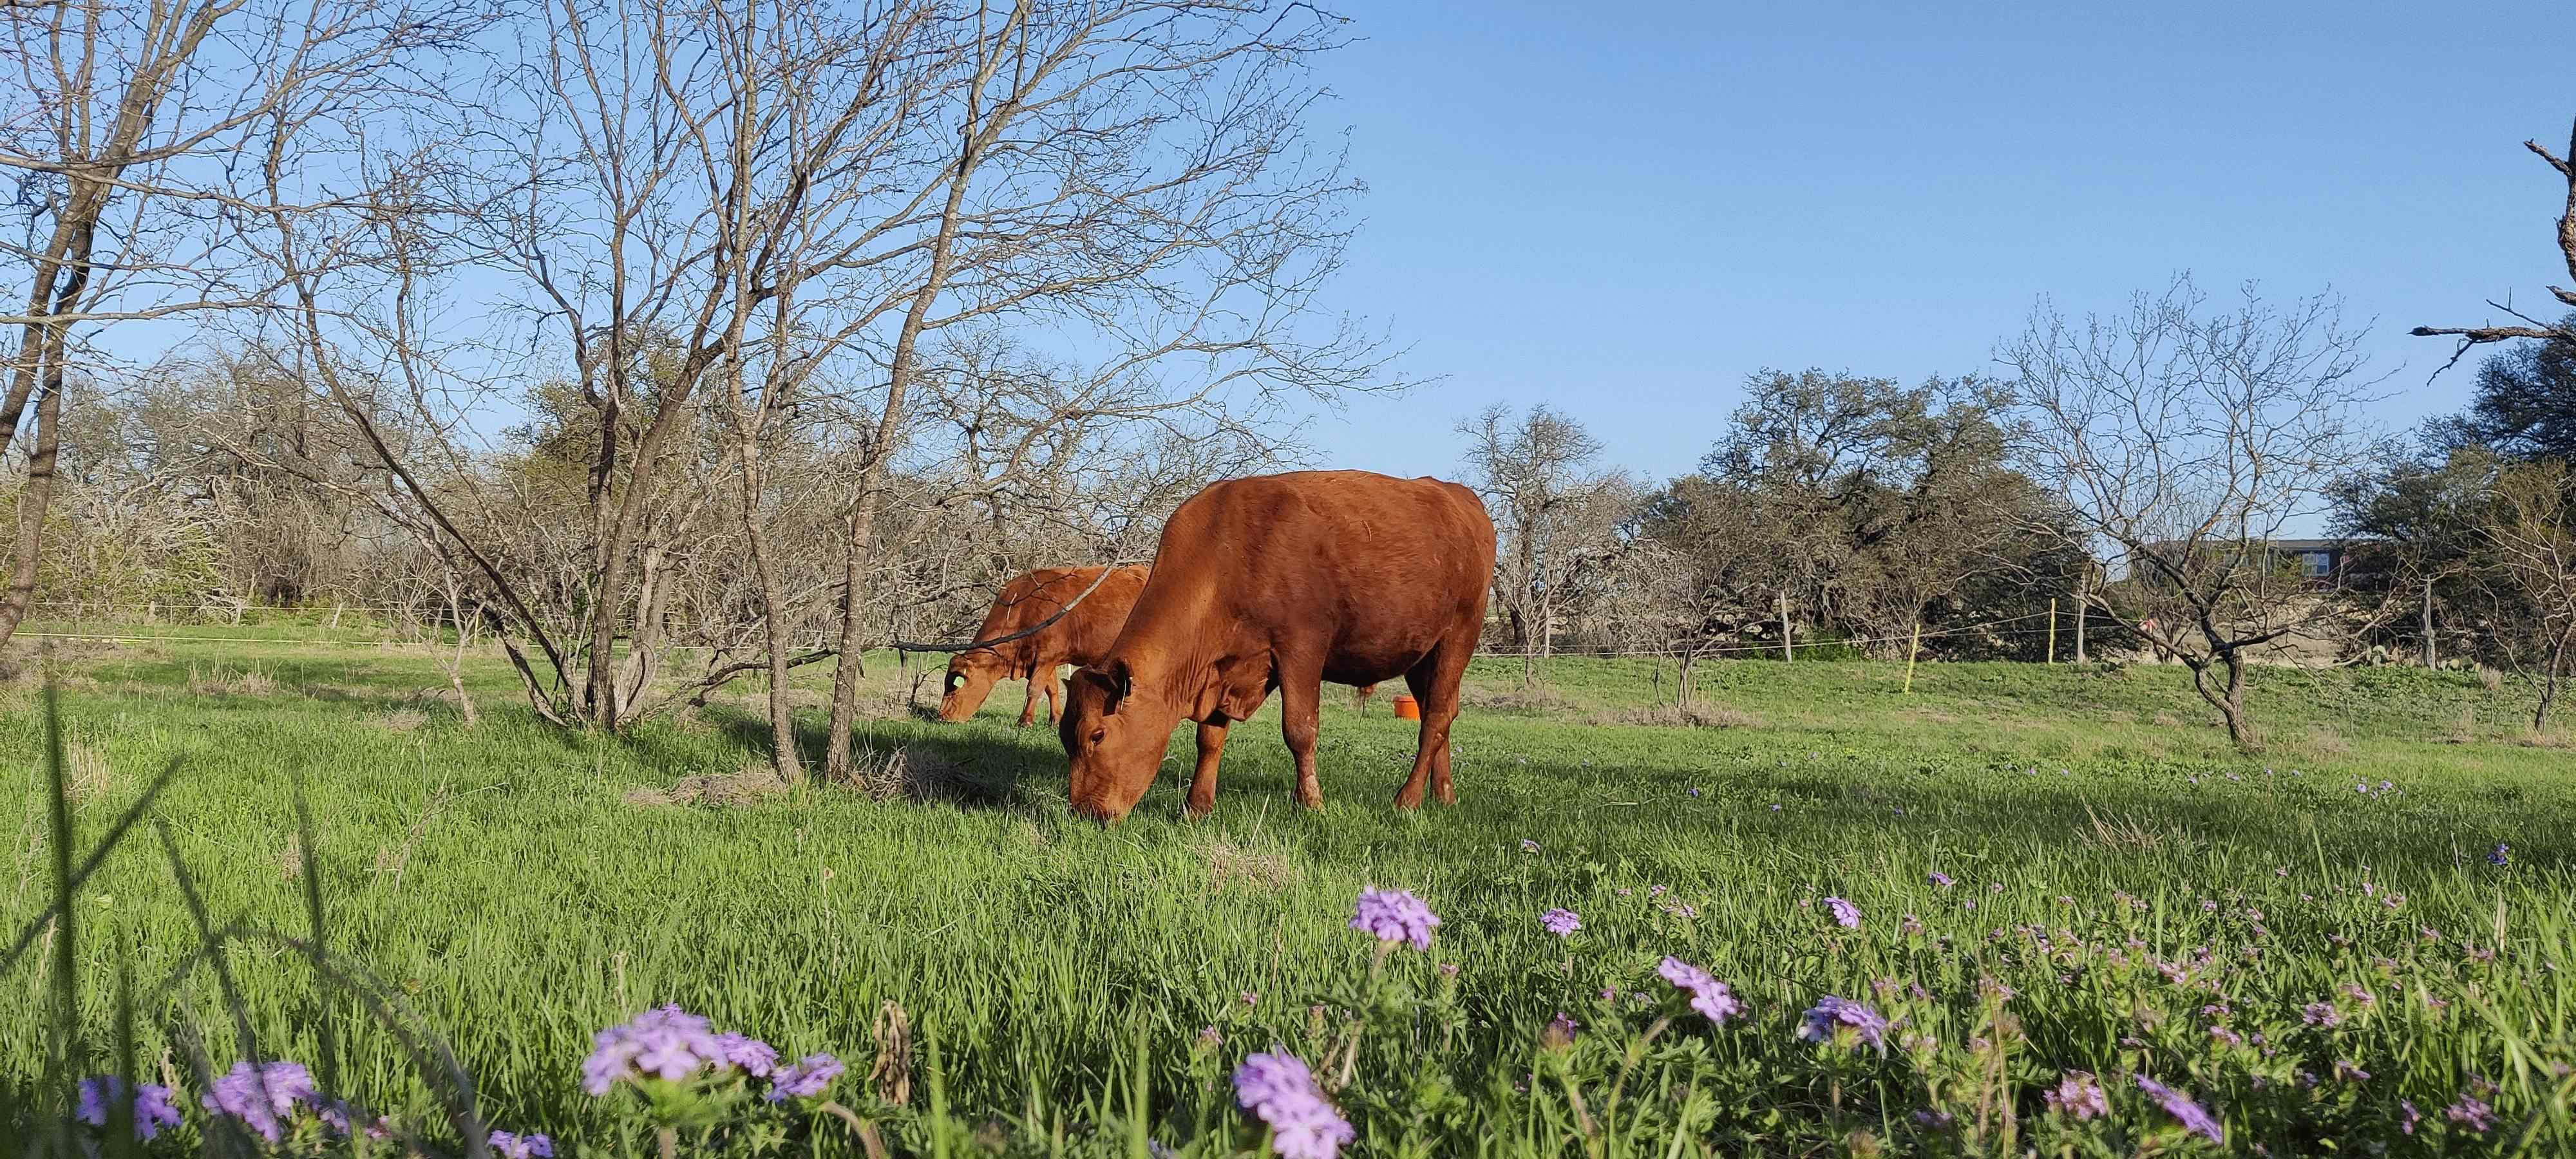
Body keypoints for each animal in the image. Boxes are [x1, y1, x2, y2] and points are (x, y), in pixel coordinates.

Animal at [1051, 466, 1494, 819]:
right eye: (1065, 737)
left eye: (1097, 735)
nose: (1086, 812)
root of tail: (1458, 496)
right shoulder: (1227, 666)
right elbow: (1209, 737)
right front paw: (1197, 806)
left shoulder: (1302, 649)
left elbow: (1300, 729)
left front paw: (1311, 803)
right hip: (1422, 654)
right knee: (1440, 714)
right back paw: (1444, 795)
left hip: (1460, 634)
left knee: (1436, 716)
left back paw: (1409, 798)